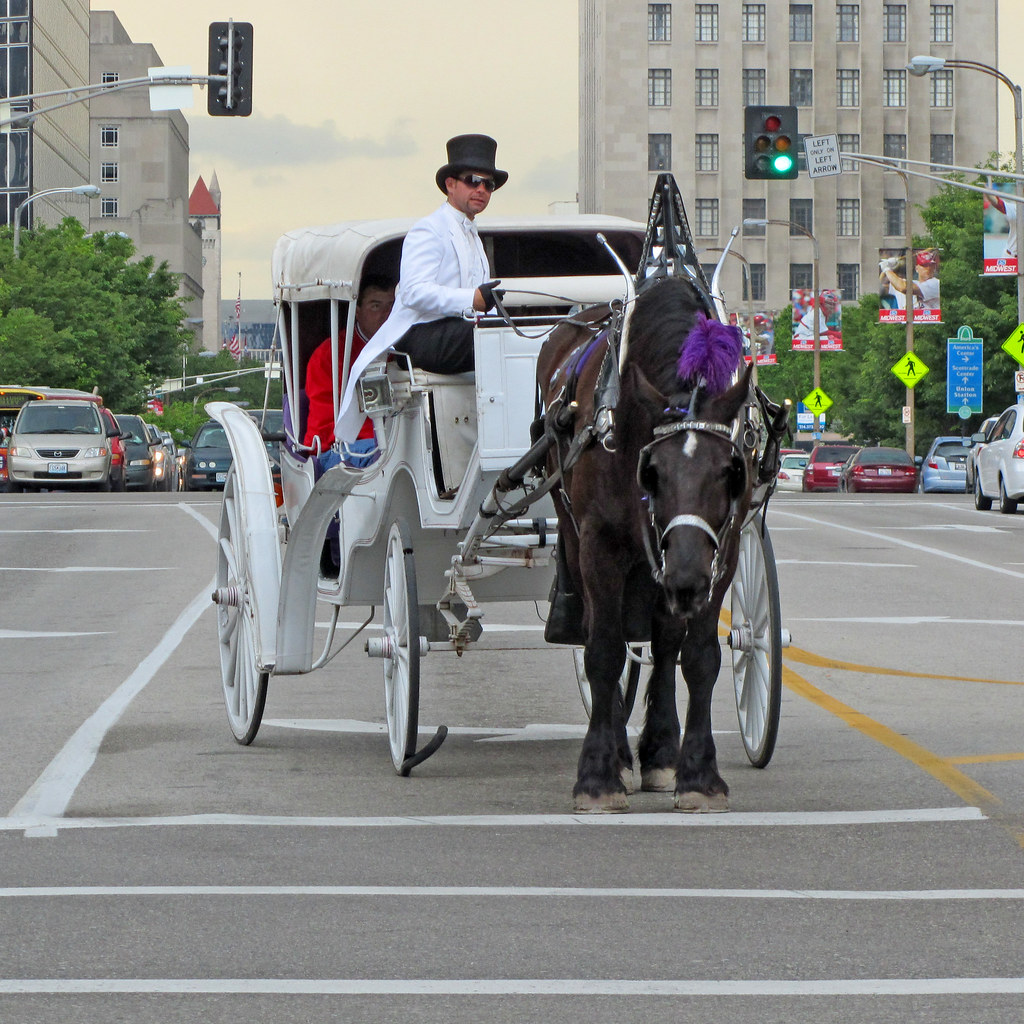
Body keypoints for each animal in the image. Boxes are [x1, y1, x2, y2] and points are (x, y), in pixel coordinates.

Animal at [537, 275, 754, 812]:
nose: (687, 577)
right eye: (651, 472)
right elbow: (603, 651)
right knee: (600, 634)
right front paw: (597, 775)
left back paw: (659, 751)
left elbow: (699, 657)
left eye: (730, 472)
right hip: (576, 533)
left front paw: (698, 774)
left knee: (665, 641)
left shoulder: (725, 552)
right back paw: (617, 752)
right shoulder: (599, 544)